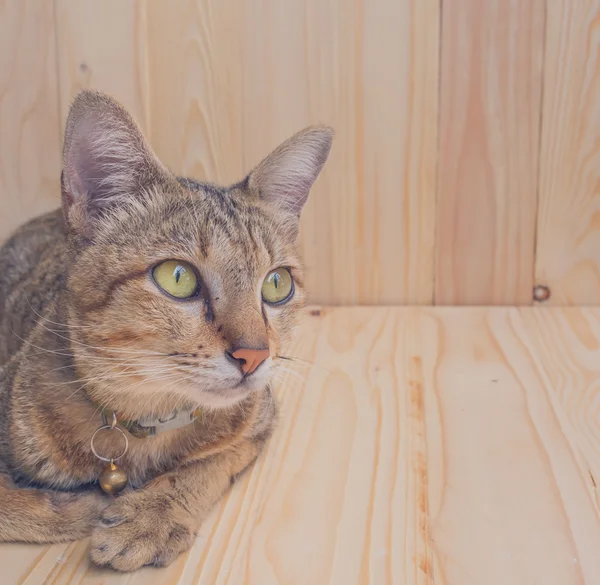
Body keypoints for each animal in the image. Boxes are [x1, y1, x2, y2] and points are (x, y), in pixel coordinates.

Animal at [0, 91, 332, 572]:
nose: (255, 355)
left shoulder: (259, 420)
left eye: (277, 284)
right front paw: (71, 509)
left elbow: (207, 464)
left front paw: (153, 515)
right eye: (178, 277)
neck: (146, 420)